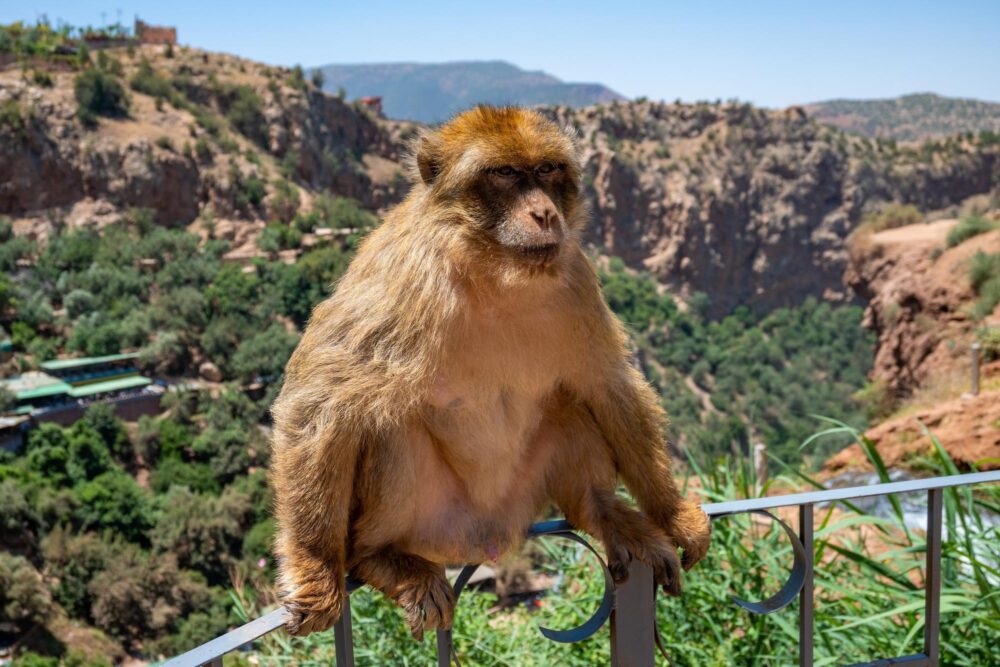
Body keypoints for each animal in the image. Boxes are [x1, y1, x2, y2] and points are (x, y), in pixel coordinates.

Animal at [270, 105, 711, 639]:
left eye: (547, 170)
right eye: (504, 174)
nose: (545, 213)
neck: (493, 269)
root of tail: (486, 538)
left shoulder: (575, 277)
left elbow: (608, 384)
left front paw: (673, 515)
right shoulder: (401, 273)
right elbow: (321, 398)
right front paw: (315, 569)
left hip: (524, 494)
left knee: (567, 407)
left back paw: (602, 510)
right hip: (433, 518)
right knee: (388, 423)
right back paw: (382, 556)